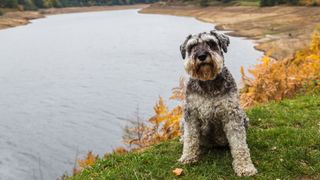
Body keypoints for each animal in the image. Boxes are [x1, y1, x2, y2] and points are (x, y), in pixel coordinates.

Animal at [178, 30, 258, 176]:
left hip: (244, 118)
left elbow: (239, 144)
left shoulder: (232, 114)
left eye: (211, 43)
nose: (201, 56)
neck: (208, 82)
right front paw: (188, 157)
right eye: (192, 47)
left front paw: (245, 167)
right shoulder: (191, 113)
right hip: (182, 121)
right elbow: (190, 138)